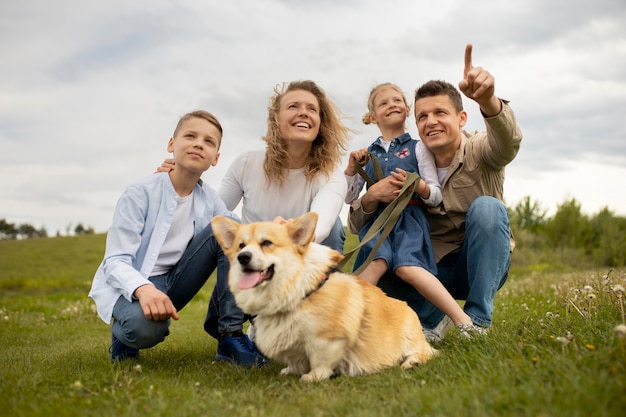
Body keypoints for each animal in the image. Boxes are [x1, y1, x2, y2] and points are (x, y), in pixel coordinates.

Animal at [210, 211, 434, 380]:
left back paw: (411, 362)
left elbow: (320, 361)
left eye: (266, 243)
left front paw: (312, 377)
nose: (243, 257)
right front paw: (291, 370)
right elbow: (295, 360)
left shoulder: (327, 339)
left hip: (410, 337)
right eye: (241, 246)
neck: (299, 289)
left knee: (423, 353)